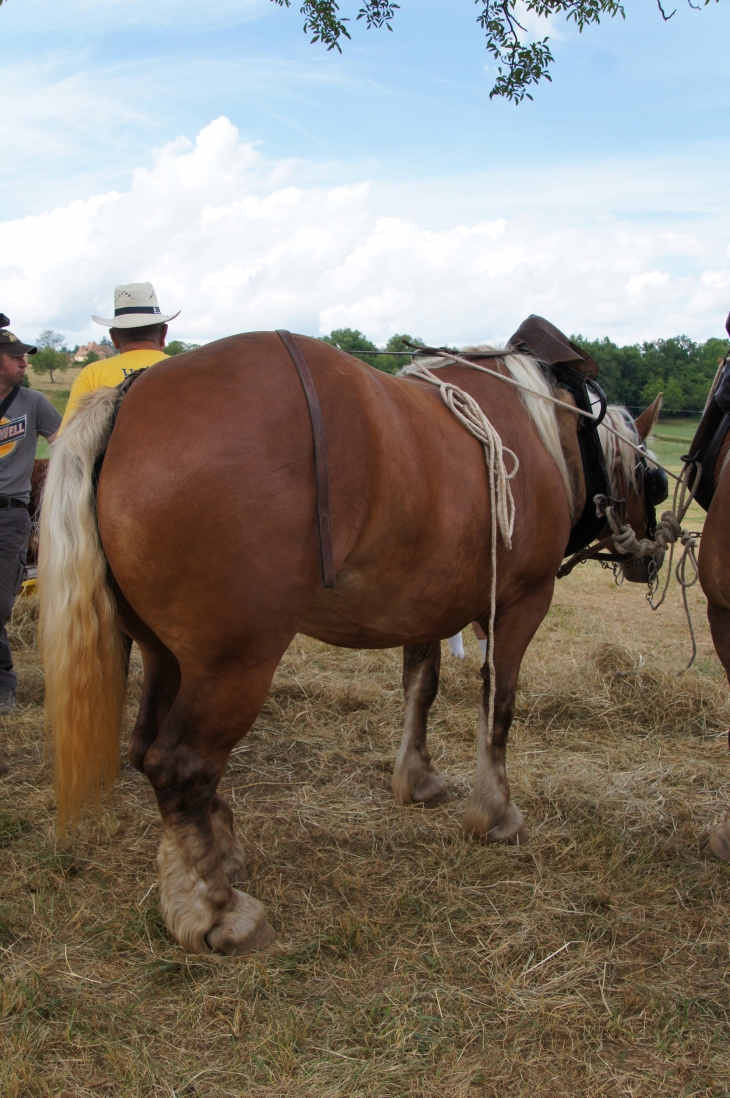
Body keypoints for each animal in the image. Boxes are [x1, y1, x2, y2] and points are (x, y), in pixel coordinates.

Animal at [38, 331, 654, 953]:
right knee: (179, 765)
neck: (546, 431)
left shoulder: (426, 605)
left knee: (146, 748)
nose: (652, 553)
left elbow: (421, 687)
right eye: (649, 478)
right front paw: (495, 810)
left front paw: (417, 778)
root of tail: (129, 396)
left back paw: (215, 852)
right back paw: (214, 908)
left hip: (165, 653)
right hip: (233, 663)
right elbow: (497, 704)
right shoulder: (522, 603)